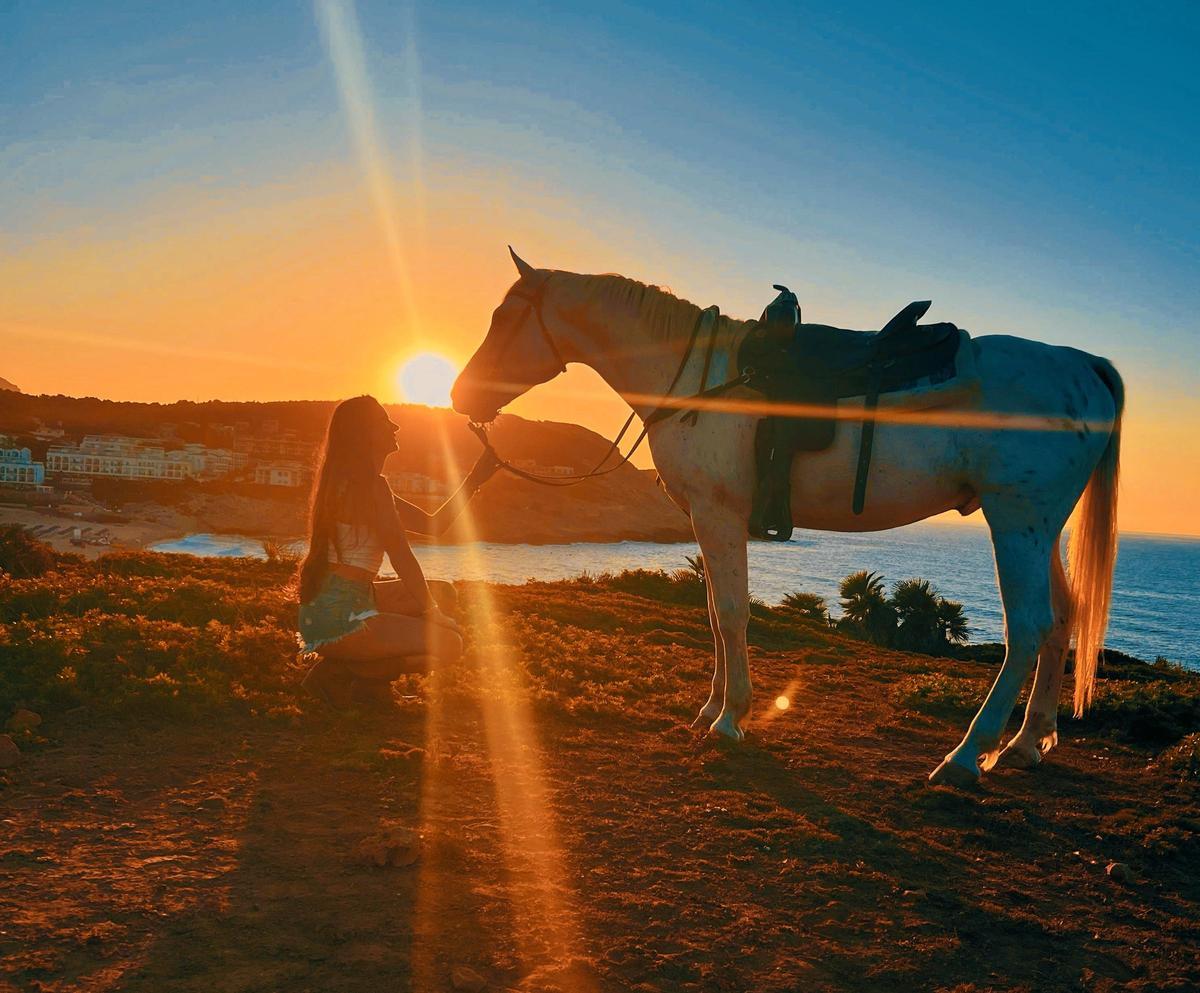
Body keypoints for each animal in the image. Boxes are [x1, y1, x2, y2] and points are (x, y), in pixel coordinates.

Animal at [451, 249, 1124, 787]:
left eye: (504, 318)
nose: (461, 396)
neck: (699, 376)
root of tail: (1083, 364)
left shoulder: (718, 514)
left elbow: (730, 612)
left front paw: (729, 719)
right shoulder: (706, 520)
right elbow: (715, 612)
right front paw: (711, 709)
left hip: (1014, 523)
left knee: (1029, 628)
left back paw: (965, 756)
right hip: (1039, 528)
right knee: (1063, 620)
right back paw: (1027, 743)